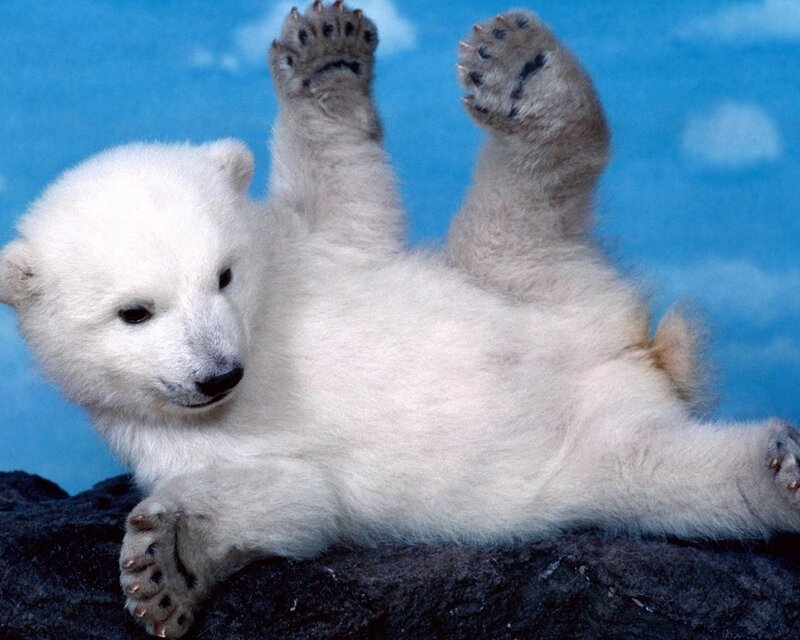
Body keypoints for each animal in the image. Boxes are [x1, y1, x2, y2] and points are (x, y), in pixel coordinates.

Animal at [1, 3, 799, 638]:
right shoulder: (171, 437)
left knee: (527, 201)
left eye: (223, 275)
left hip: (519, 282)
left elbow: (348, 198)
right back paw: (780, 471)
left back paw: (520, 67)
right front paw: (166, 564)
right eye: (134, 313)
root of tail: (635, 351)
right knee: (680, 479)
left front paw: (326, 55)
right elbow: (288, 496)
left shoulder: (312, 254)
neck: (263, 334)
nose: (221, 374)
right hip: (592, 444)